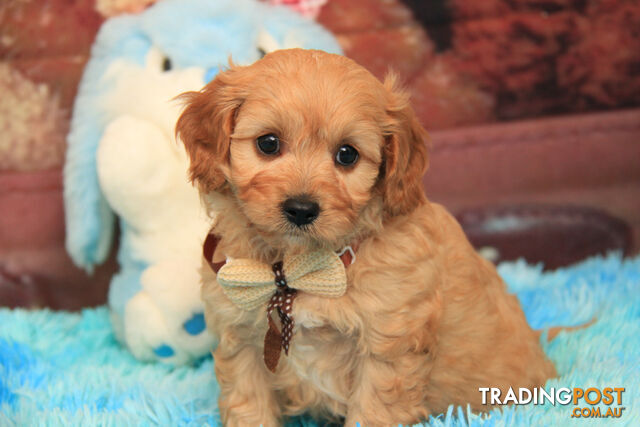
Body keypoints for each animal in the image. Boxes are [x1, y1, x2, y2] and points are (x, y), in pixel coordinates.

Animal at [175, 48, 556, 426]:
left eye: (347, 154)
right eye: (268, 143)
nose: (301, 208)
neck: (300, 271)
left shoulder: (388, 348)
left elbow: (373, 411)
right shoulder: (240, 340)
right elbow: (249, 406)